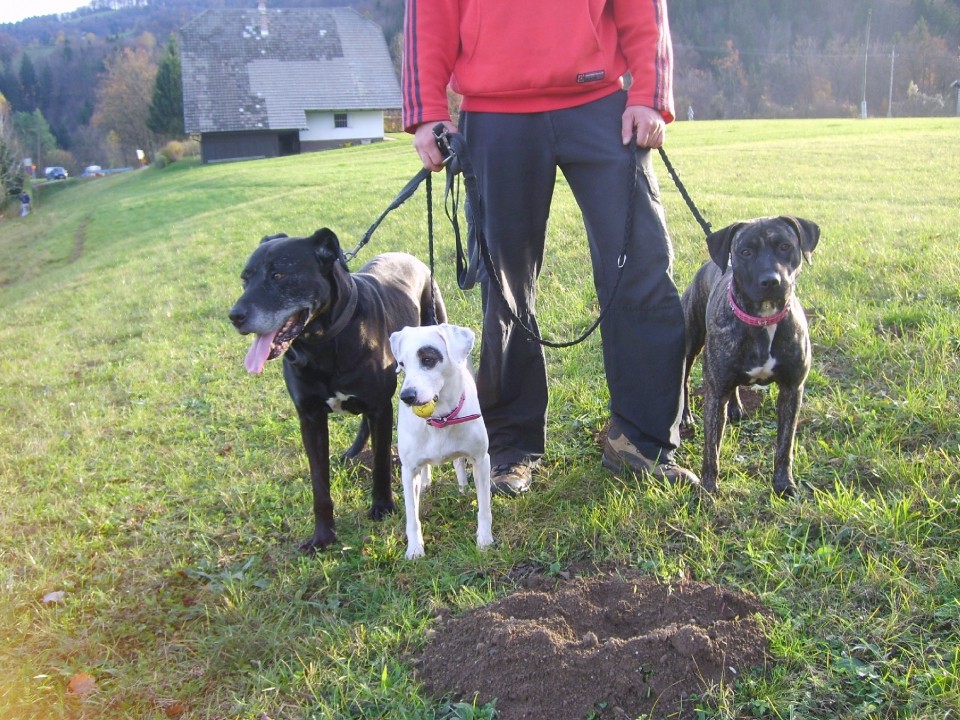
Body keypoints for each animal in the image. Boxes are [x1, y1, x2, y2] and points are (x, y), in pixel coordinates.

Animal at [231, 231, 444, 552]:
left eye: (279, 275)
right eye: (245, 279)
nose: (235, 316)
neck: (323, 341)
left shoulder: (380, 407)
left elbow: (380, 462)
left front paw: (382, 506)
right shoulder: (310, 418)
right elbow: (319, 484)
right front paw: (323, 535)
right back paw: (352, 451)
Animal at [390, 324, 496, 560]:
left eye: (428, 359)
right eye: (402, 364)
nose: (407, 396)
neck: (441, 419)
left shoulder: (481, 460)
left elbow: (484, 507)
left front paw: (485, 539)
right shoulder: (408, 471)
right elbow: (412, 517)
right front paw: (414, 548)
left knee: (458, 462)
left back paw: (463, 486)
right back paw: (426, 482)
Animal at [680, 215, 820, 496]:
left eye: (785, 246)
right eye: (745, 252)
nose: (771, 281)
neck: (763, 319)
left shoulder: (792, 389)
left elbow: (785, 446)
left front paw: (784, 484)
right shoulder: (715, 392)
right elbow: (711, 448)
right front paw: (707, 488)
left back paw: (735, 407)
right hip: (692, 345)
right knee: (686, 381)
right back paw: (687, 416)